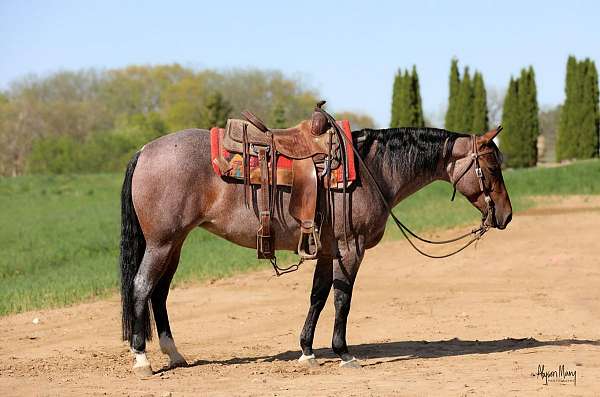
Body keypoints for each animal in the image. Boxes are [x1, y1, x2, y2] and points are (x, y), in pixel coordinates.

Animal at [120, 123, 510, 374]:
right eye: (492, 166)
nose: (505, 215)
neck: (372, 171)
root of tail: (143, 151)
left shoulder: (326, 250)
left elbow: (318, 297)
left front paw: (307, 351)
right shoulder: (351, 248)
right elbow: (342, 299)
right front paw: (344, 353)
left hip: (175, 243)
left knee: (159, 293)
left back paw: (174, 355)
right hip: (162, 242)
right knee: (141, 288)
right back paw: (142, 359)